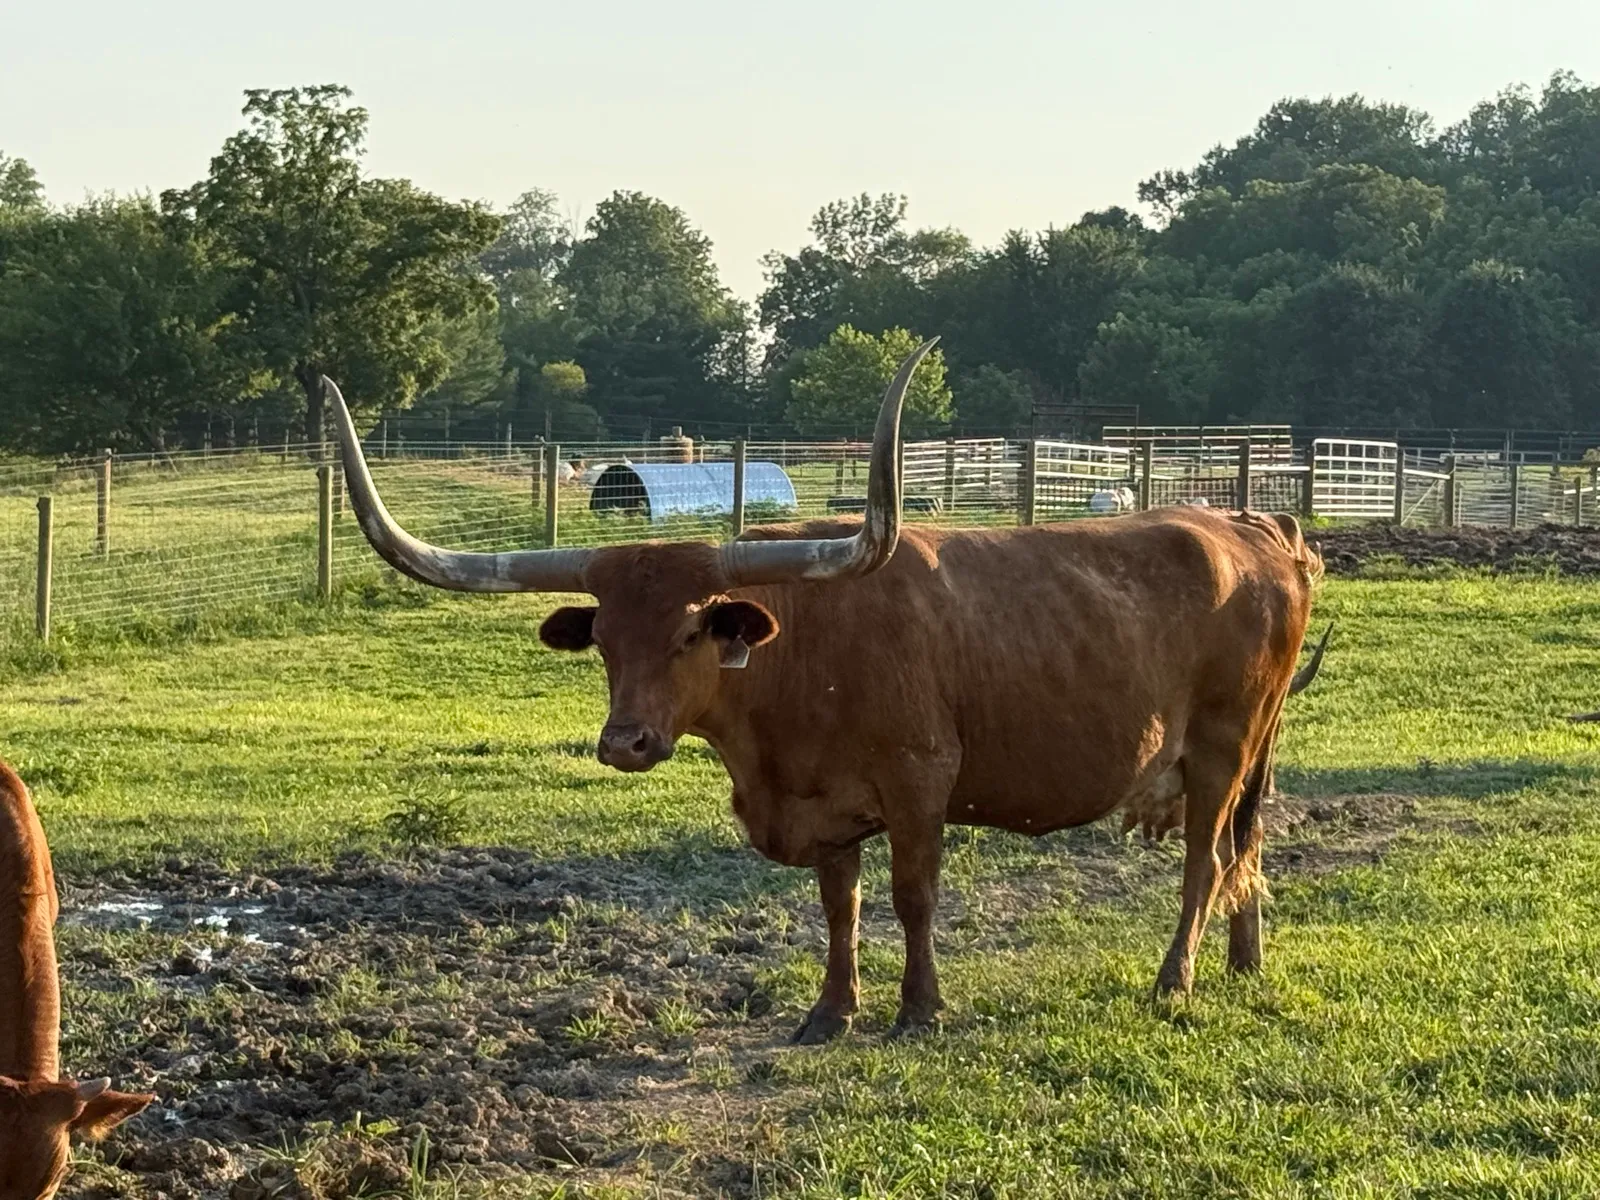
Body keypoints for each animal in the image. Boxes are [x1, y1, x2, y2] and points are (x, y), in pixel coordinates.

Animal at [324, 340, 1324, 1041]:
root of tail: (1252, 526)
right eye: (603, 638)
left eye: (692, 629)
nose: (624, 743)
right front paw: (831, 1011)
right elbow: (837, 908)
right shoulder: (827, 807)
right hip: (1253, 752)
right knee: (1246, 849)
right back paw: (1244, 961)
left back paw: (1174, 980)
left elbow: (912, 896)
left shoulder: (920, 781)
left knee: (1205, 861)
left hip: (1222, 746)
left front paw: (919, 1009)